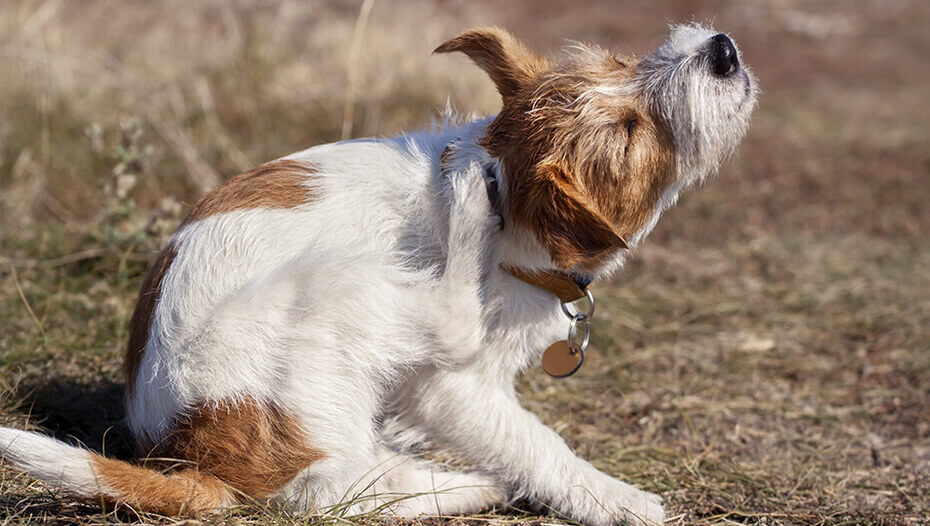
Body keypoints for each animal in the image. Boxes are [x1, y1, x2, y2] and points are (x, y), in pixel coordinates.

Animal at [0, 24, 752, 526]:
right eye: (629, 130)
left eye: (621, 62)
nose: (721, 48)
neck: (513, 205)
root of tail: (193, 458)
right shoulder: (453, 388)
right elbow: (534, 442)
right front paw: (613, 497)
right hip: (337, 284)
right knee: (336, 487)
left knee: (357, 483)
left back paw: (460, 480)